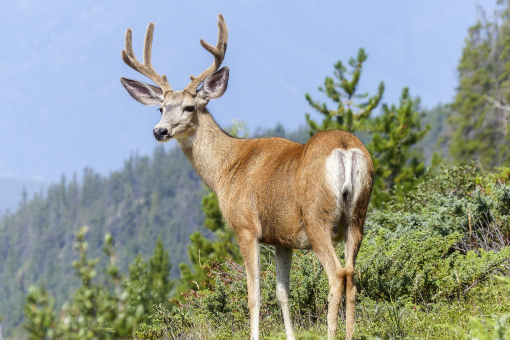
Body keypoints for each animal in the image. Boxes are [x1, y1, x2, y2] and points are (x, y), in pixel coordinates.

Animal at [120, 13, 374, 340]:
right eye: (161, 108)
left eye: (189, 107)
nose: (159, 131)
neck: (226, 169)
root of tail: (345, 149)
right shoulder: (281, 238)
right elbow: (282, 292)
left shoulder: (245, 227)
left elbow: (254, 294)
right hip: (357, 215)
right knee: (352, 275)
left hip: (318, 216)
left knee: (337, 274)